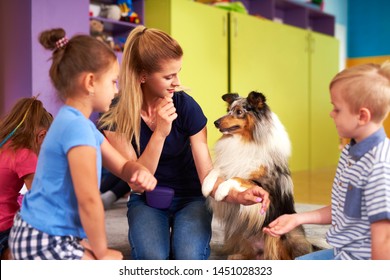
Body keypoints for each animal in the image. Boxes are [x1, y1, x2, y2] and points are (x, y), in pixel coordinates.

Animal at [203, 91, 312, 260]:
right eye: (228, 110)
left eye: (239, 112)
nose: (215, 122)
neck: (246, 141)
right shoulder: (230, 165)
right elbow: (216, 170)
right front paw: (206, 186)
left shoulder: (264, 184)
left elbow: (237, 178)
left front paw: (221, 191)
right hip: (240, 232)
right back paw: (236, 256)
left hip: (279, 231)